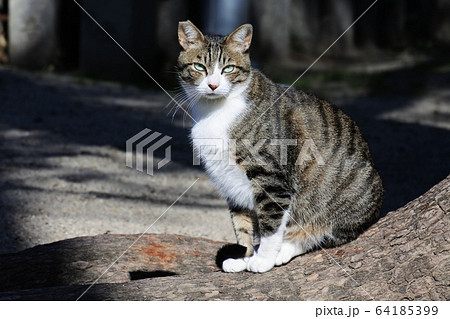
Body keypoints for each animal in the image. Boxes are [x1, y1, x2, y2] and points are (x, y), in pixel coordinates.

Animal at [176, 21, 384, 274]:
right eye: (199, 66)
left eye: (228, 68)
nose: (213, 85)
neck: (215, 111)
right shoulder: (230, 183)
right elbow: (242, 224)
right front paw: (243, 256)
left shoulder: (270, 178)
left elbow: (270, 223)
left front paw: (262, 259)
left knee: (324, 235)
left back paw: (284, 250)